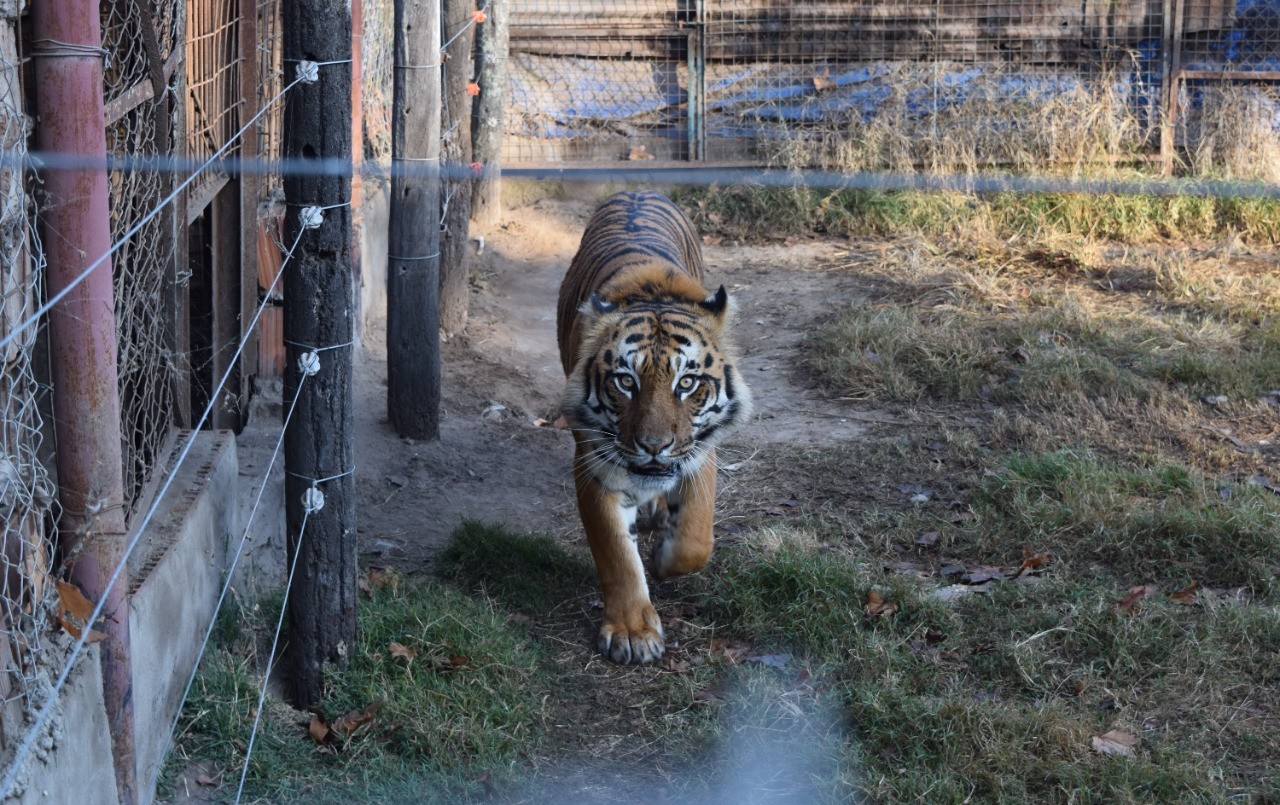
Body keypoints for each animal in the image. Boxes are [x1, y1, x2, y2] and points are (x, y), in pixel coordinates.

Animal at [557, 190, 752, 665]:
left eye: (687, 383)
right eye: (627, 382)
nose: (653, 446)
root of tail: (638, 191)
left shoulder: (699, 449)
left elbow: (697, 538)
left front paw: (665, 557)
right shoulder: (594, 463)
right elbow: (616, 554)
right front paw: (632, 633)